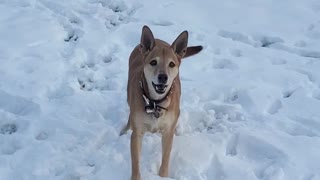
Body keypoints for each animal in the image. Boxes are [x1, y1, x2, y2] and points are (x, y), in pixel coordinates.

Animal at [120, 25, 202, 180]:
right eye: (153, 62)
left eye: (171, 64)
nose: (163, 77)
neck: (155, 103)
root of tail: (158, 39)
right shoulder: (137, 134)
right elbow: (136, 162)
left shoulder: (168, 133)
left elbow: (165, 160)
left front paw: (162, 175)